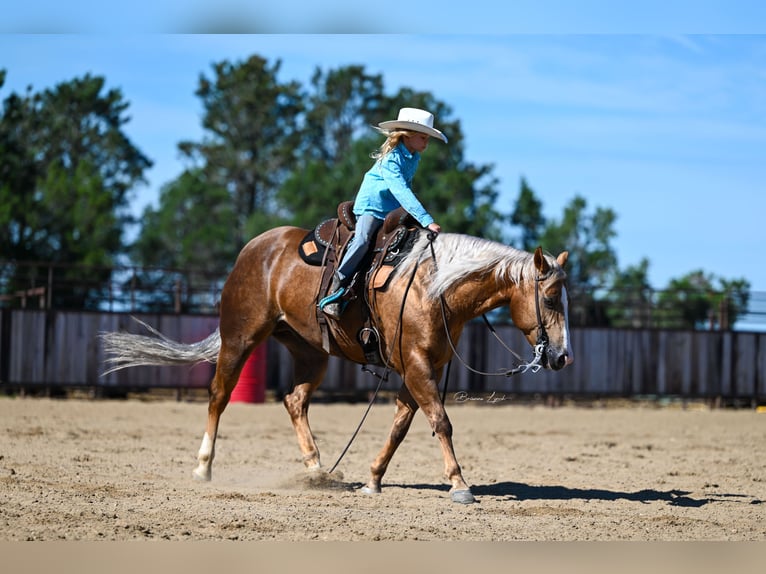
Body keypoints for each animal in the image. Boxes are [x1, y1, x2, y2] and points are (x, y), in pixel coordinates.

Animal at [102, 225, 572, 504]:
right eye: (550, 298)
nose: (563, 357)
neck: (434, 287)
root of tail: (253, 248)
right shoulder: (417, 365)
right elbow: (440, 421)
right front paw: (459, 484)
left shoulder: (422, 368)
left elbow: (401, 426)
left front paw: (373, 479)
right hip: (240, 336)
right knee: (219, 394)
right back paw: (203, 466)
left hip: (310, 352)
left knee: (294, 401)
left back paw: (315, 468)